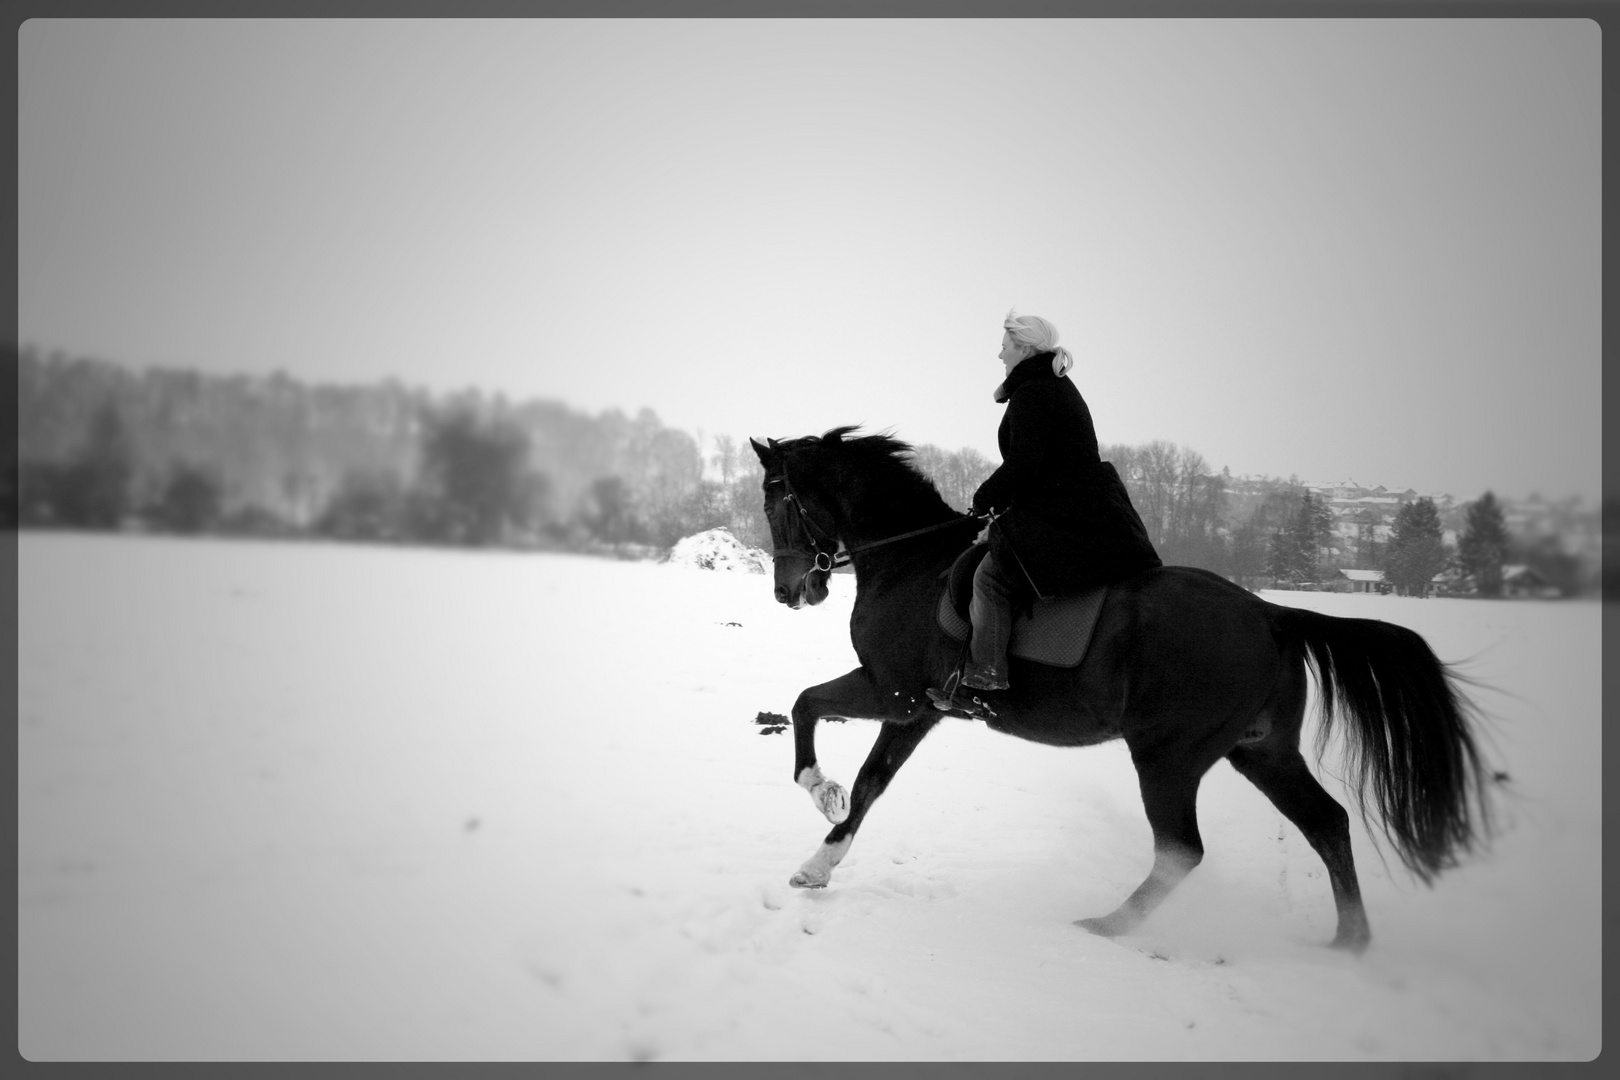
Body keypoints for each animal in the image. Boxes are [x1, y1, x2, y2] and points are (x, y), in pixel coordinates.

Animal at [751, 427, 1483, 952]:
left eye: (775, 501)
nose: (788, 592)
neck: (913, 560)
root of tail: (1272, 615)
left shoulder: (896, 695)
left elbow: (821, 722)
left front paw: (820, 812)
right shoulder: (916, 709)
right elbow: (846, 752)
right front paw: (820, 836)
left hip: (1169, 754)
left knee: (1183, 849)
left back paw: (1109, 926)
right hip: (1260, 750)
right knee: (1326, 823)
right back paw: (1349, 941)